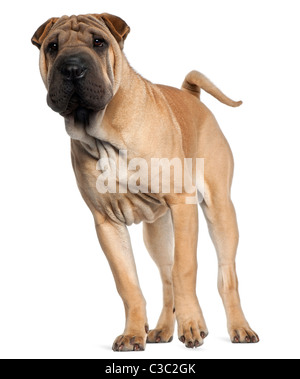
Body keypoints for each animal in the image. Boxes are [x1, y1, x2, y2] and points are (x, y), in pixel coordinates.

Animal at [31, 13, 258, 352]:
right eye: (52, 47)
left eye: (98, 42)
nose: (72, 68)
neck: (104, 135)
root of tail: (191, 96)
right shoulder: (107, 223)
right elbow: (128, 284)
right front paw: (133, 333)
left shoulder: (183, 204)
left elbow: (185, 269)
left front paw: (193, 325)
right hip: (157, 231)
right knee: (166, 279)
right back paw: (163, 330)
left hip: (220, 212)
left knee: (225, 275)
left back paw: (239, 328)